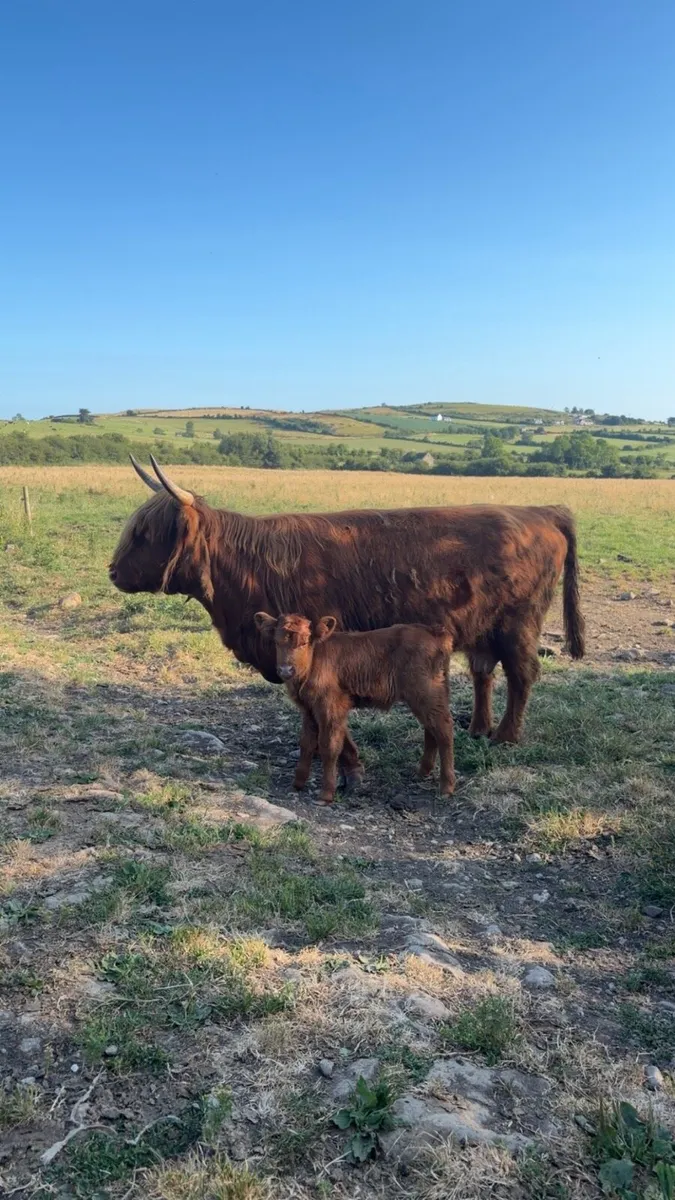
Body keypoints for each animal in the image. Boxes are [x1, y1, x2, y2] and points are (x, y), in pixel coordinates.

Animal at [109, 456, 585, 775]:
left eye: (145, 533)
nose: (112, 571)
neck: (248, 569)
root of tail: (542, 511)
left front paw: (344, 760)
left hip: (519, 624)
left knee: (522, 673)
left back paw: (506, 736)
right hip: (482, 628)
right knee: (485, 672)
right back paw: (478, 729)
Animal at [254, 611, 456, 805]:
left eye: (304, 642)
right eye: (276, 642)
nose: (285, 670)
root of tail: (433, 631)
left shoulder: (331, 706)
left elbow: (329, 746)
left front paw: (326, 793)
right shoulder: (309, 710)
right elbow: (306, 742)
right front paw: (297, 783)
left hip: (426, 692)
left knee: (444, 730)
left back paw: (446, 786)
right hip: (428, 696)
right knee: (431, 729)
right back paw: (423, 771)